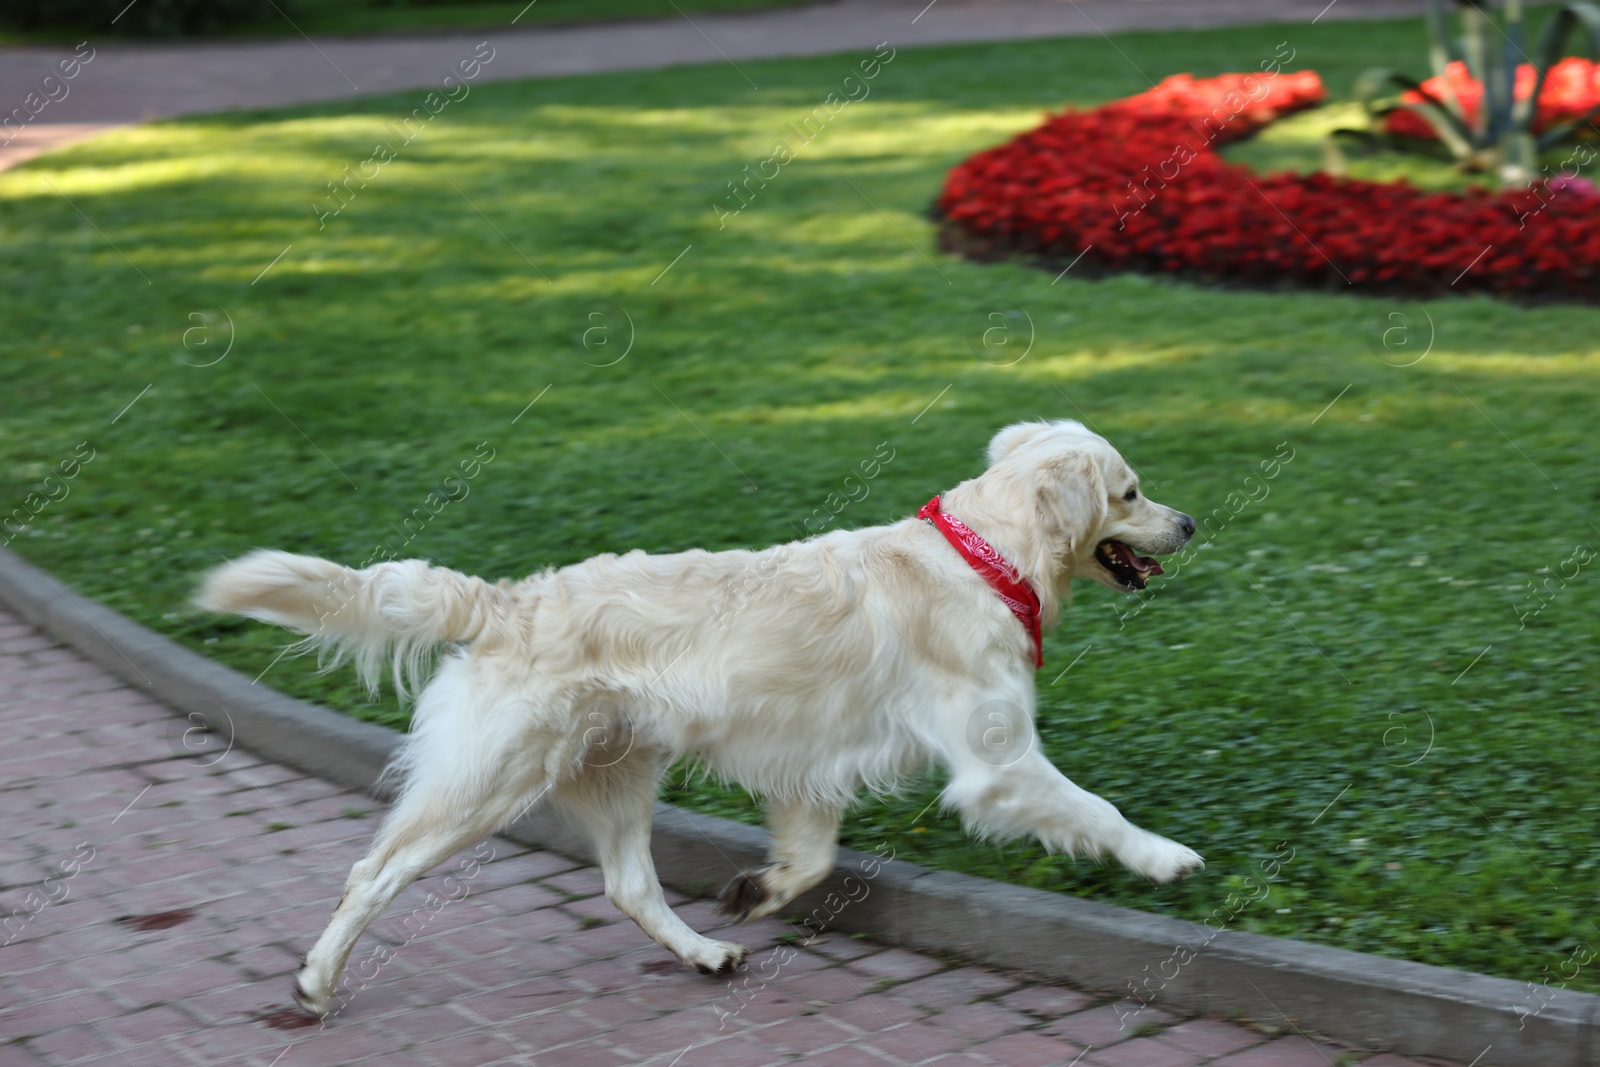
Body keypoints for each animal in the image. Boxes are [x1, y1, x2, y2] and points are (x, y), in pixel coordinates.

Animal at [196, 415, 1203, 1017]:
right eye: (1131, 491)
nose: (1191, 522)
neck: (982, 555)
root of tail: (507, 600)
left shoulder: (813, 764)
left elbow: (811, 858)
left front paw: (757, 890)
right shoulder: (996, 760)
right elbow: (1097, 811)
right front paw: (1165, 857)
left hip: (617, 771)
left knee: (628, 886)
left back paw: (707, 954)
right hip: (489, 782)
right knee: (372, 871)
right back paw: (316, 981)